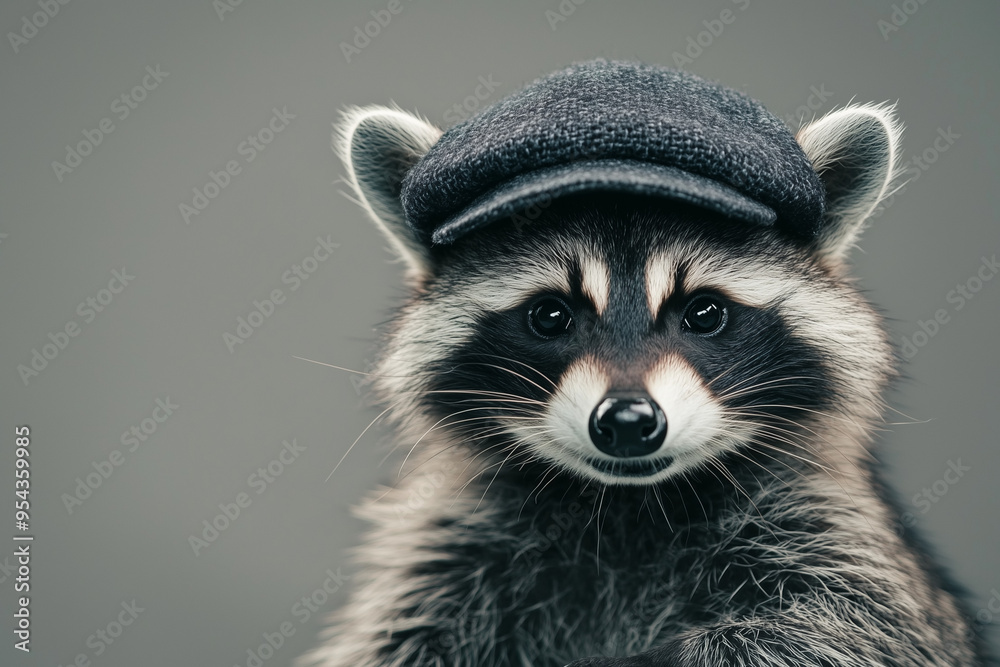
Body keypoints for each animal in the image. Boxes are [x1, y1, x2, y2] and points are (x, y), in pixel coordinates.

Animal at [302, 79, 987, 665]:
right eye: (550, 315)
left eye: (704, 312)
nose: (629, 421)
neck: (627, 507)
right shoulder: (442, 561)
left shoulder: (830, 534)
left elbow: (844, 629)